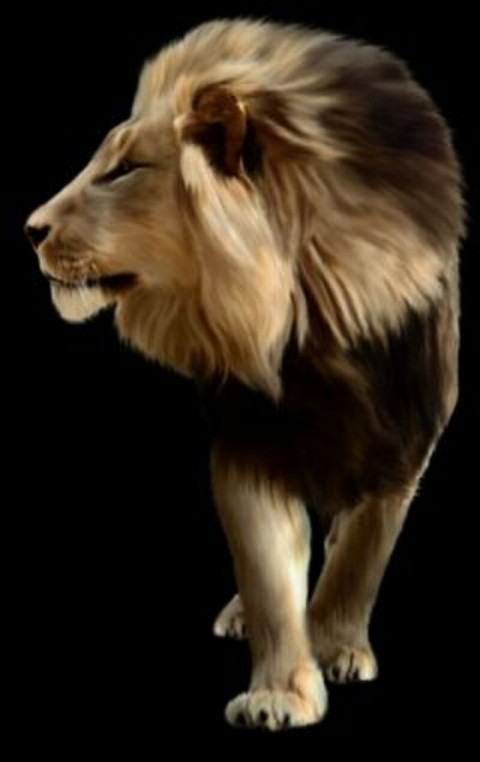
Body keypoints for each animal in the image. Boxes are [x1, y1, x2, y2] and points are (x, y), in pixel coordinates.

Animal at [25, 19, 465, 731]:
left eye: (124, 170)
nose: (30, 229)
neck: (305, 329)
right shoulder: (247, 442)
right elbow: (266, 570)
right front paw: (280, 692)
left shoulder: (404, 438)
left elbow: (361, 553)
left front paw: (336, 645)